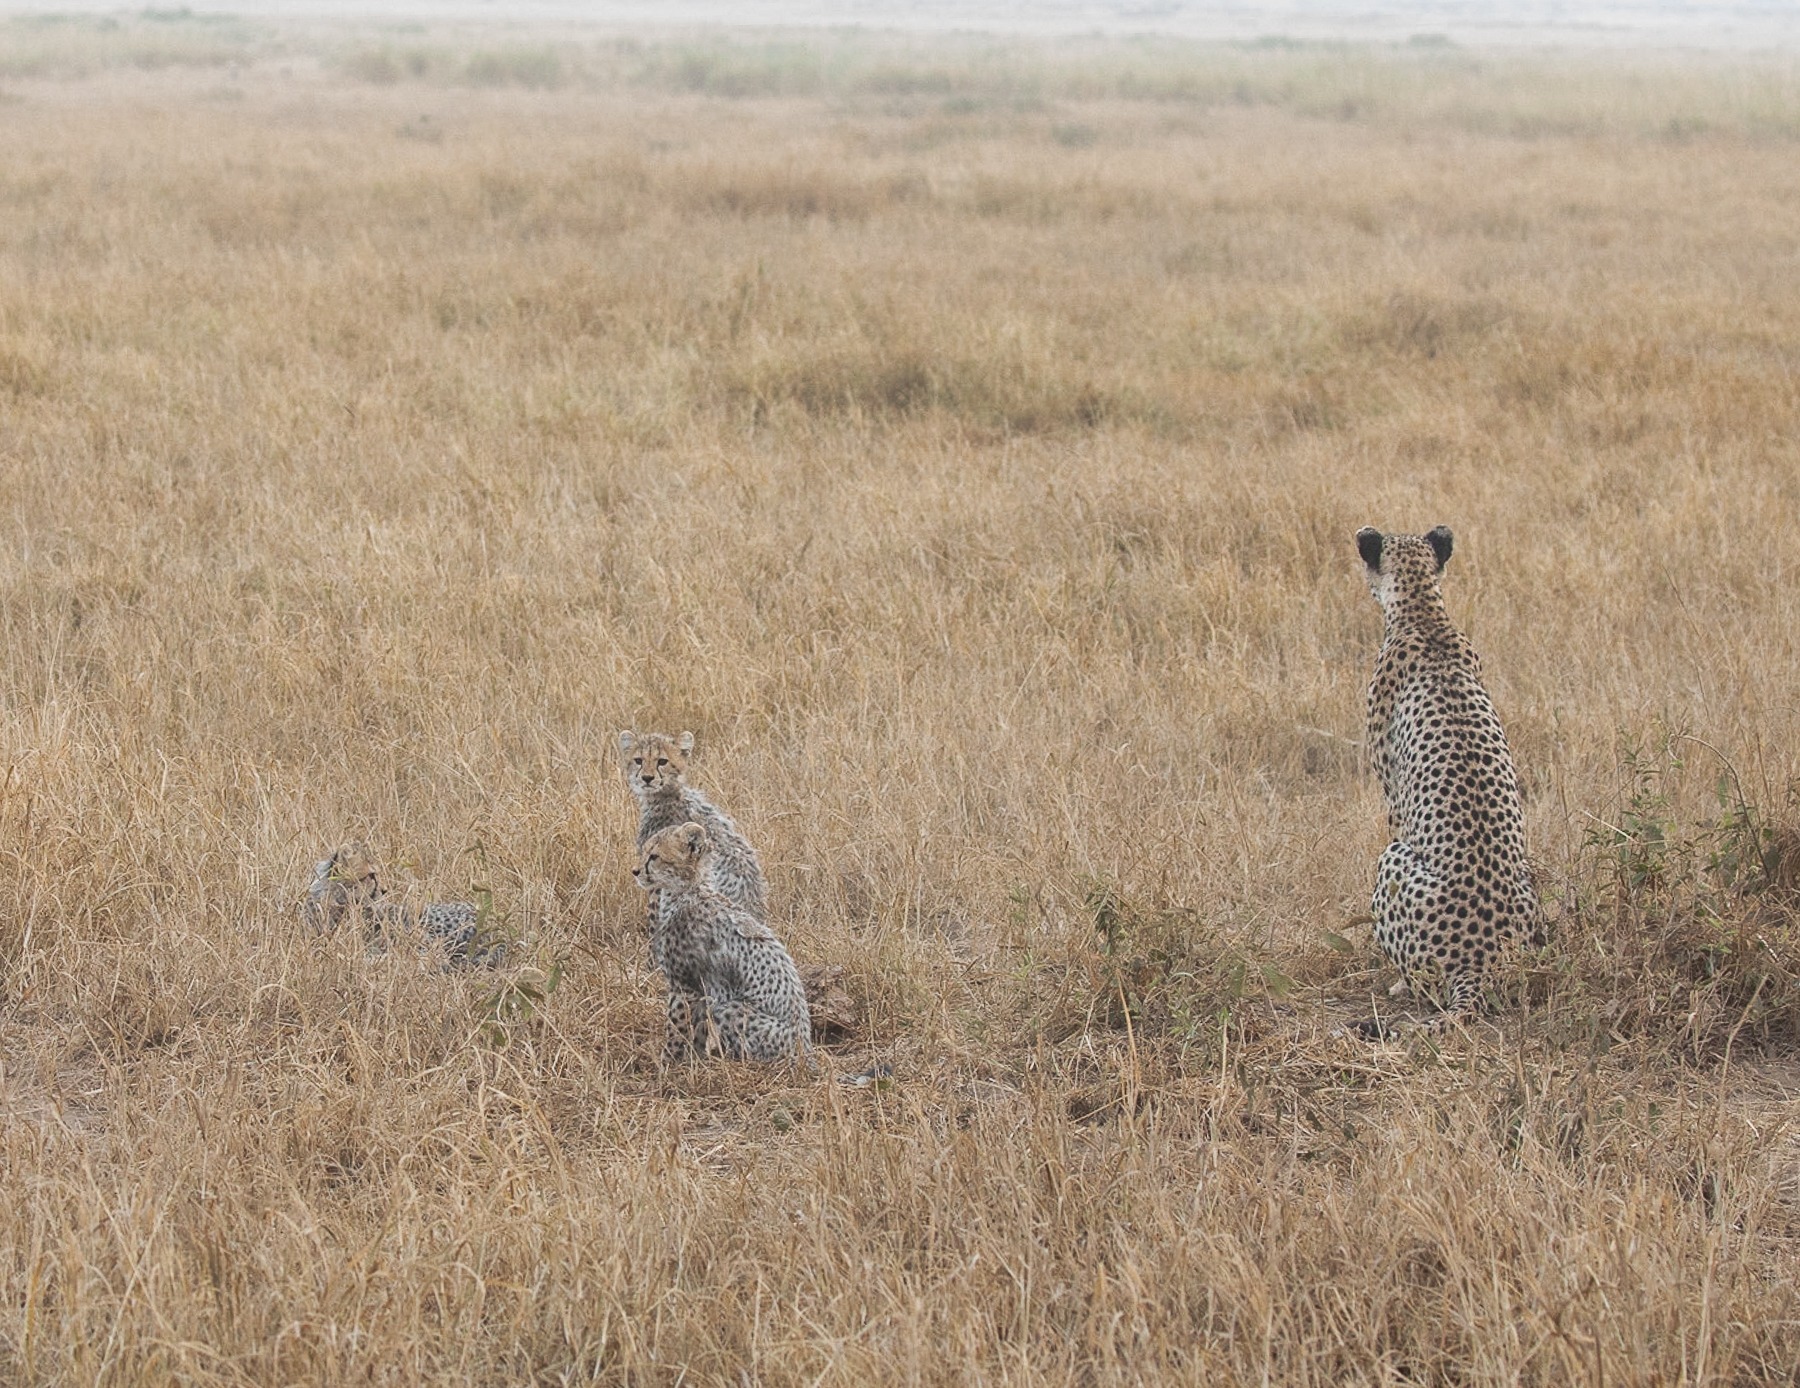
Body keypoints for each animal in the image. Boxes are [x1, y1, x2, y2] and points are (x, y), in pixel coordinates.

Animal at [633, 821, 811, 1066]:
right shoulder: (699, 990)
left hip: (729, 1008)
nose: (636, 871)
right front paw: (696, 1061)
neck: (688, 891)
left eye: (654, 856)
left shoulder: (683, 987)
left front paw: (666, 1064)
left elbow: (676, 1030)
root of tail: (807, 1052)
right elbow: (697, 1031)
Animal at [1354, 524, 1538, 1037]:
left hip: (1392, 860)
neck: (1424, 614)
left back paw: (1397, 985)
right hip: (1530, 878)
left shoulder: (1392, 795)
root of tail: (1477, 962)